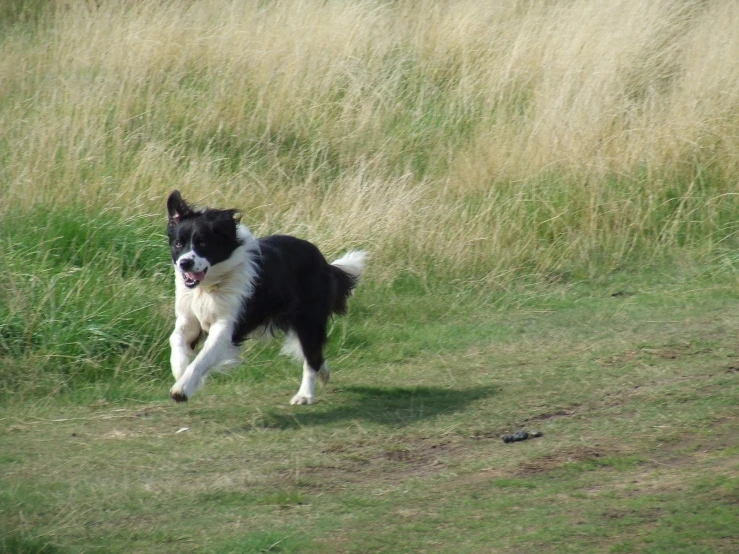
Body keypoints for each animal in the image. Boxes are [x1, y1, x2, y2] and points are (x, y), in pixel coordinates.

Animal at [165, 189, 368, 402]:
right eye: (178, 244)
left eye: (203, 243)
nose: (185, 263)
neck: (208, 287)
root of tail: (324, 262)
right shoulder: (189, 317)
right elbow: (175, 337)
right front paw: (180, 368)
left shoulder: (227, 324)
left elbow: (205, 356)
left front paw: (182, 388)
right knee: (315, 355)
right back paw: (324, 375)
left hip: (308, 318)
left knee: (311, 355)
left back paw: (304, 395)